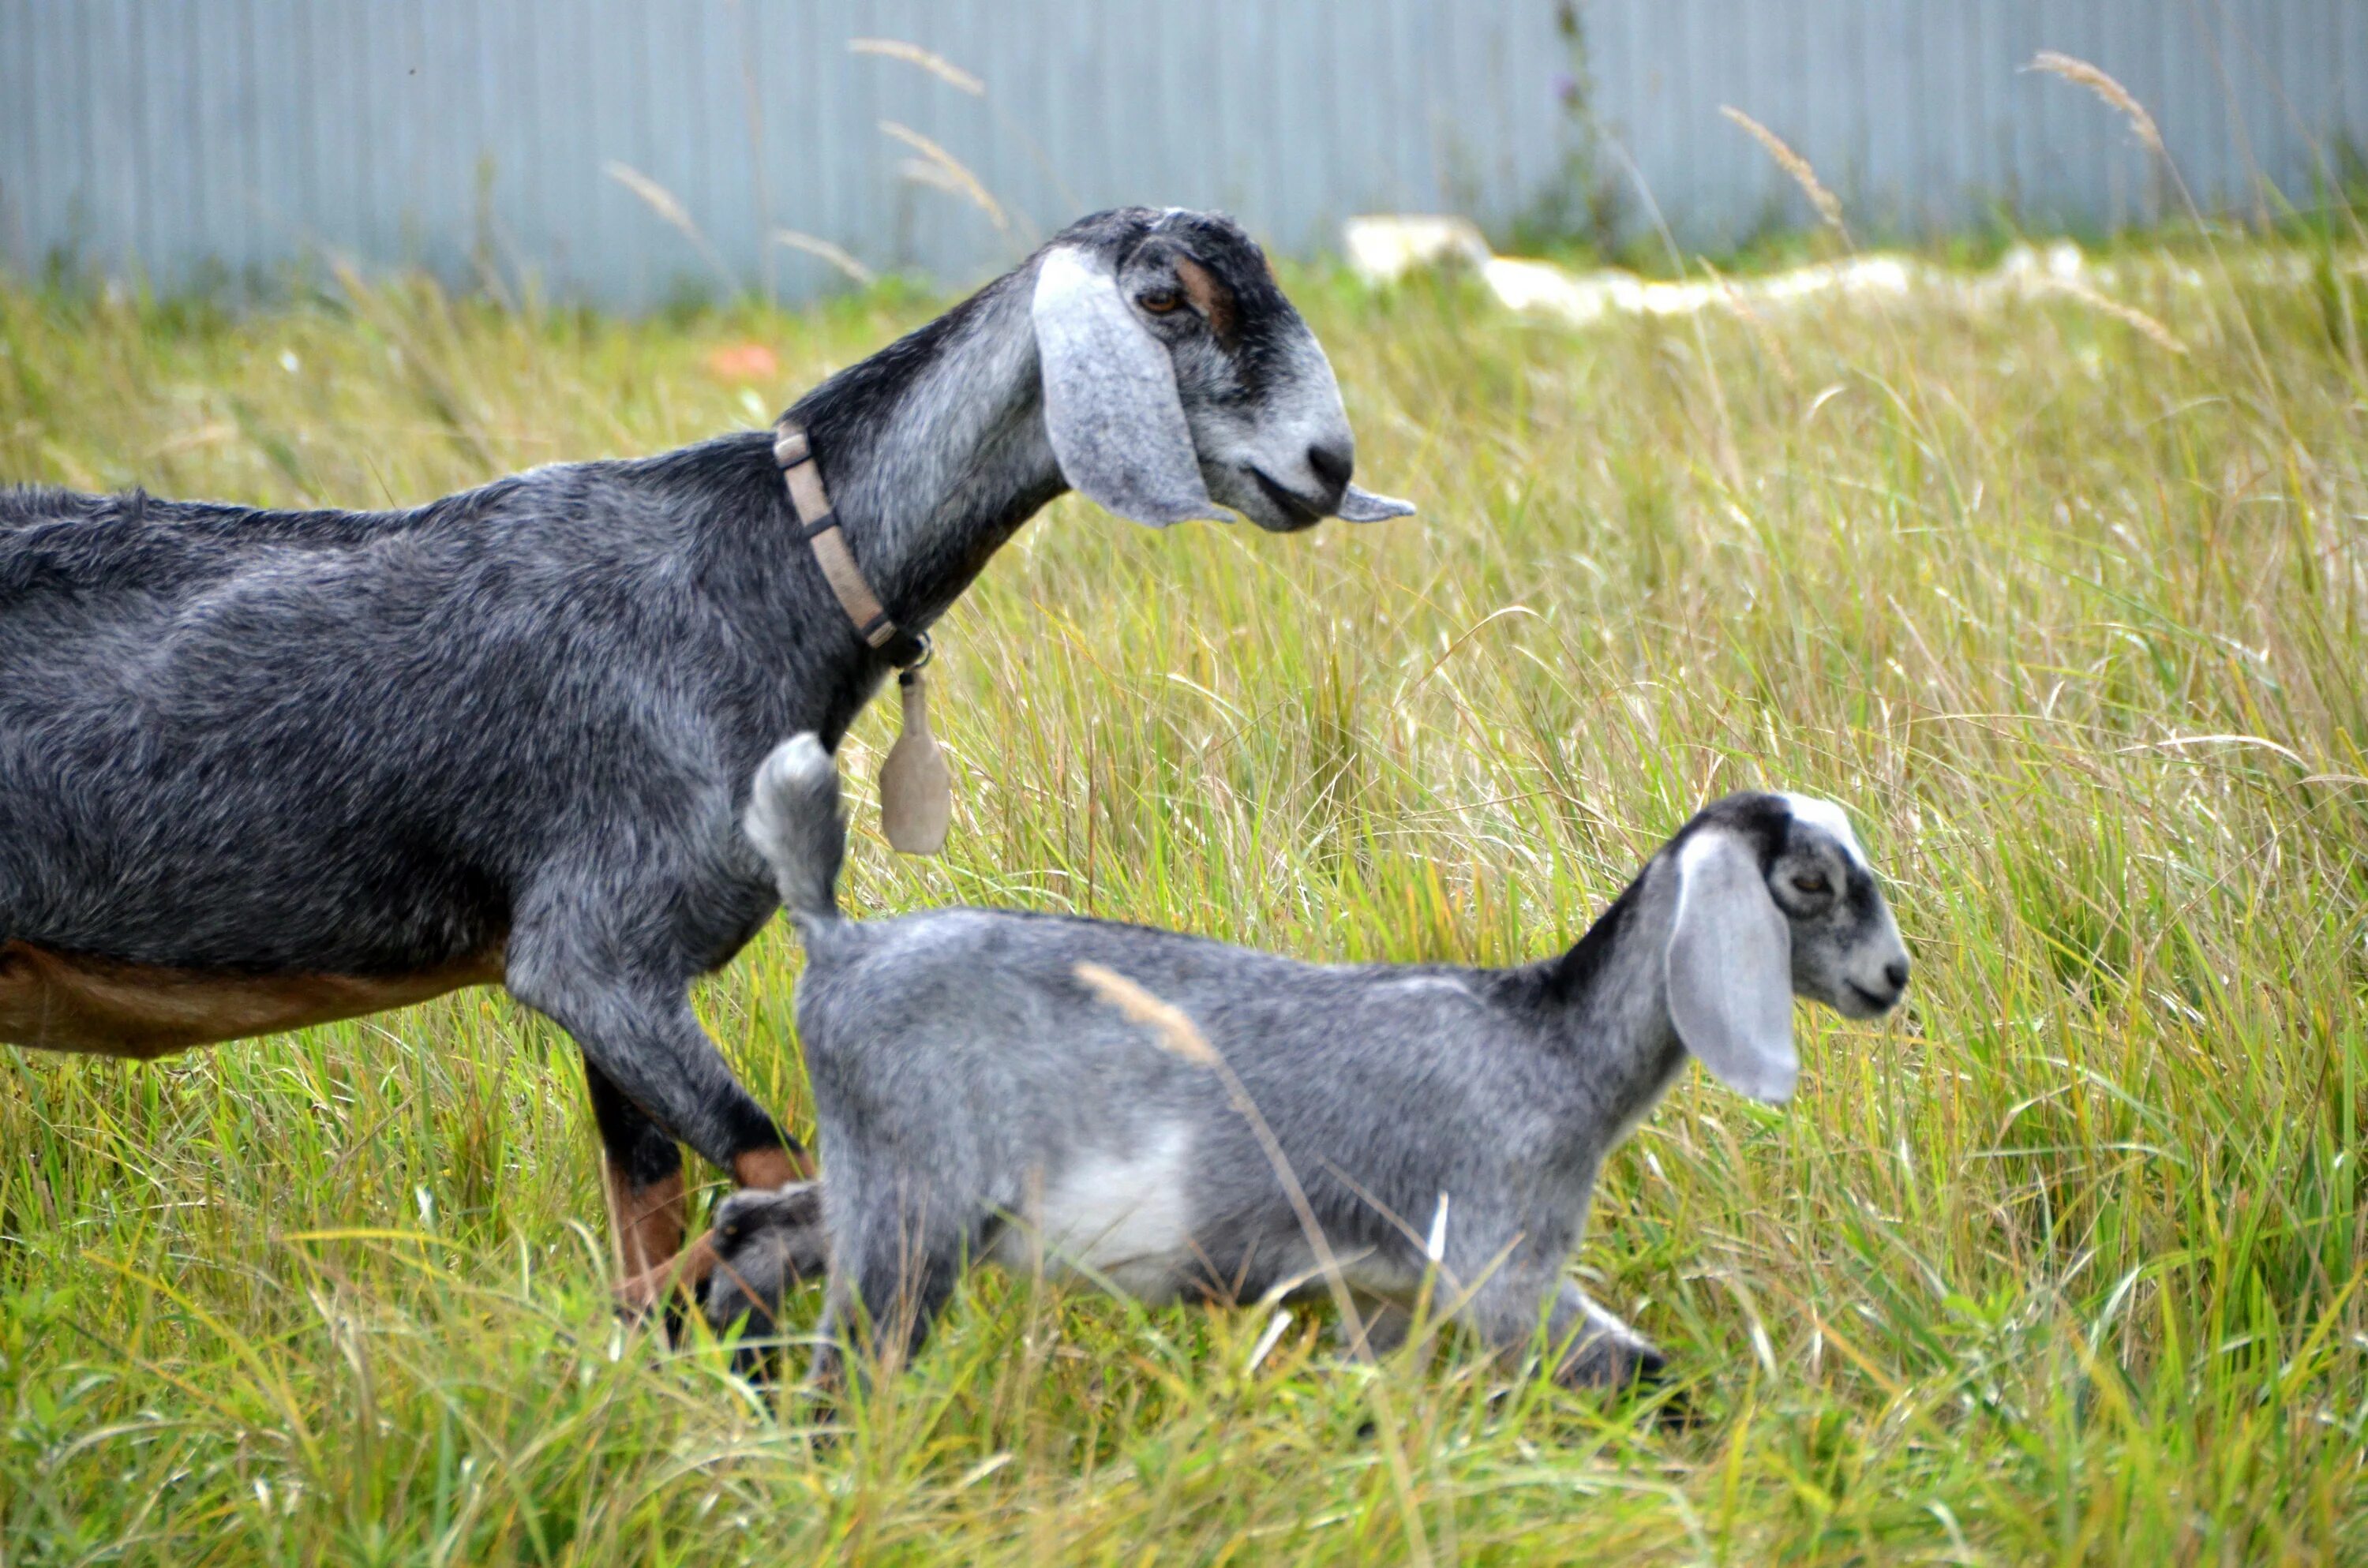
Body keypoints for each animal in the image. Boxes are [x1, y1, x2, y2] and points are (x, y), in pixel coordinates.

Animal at [0, 211, 1402, 1316]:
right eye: (1163, 297)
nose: (1325, 464)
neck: (764, 565)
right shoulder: (593, 950)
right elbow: (775, 1170)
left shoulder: (619, 987)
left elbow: (651, 1214)